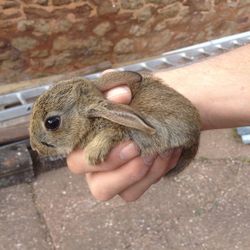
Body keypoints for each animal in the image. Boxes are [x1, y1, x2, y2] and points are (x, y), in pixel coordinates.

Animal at [29, 71, 201, 174]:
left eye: (52, 122)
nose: (35, 147)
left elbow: (111, 133)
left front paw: (92, 155)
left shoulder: (117, 129)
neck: (89, 122)